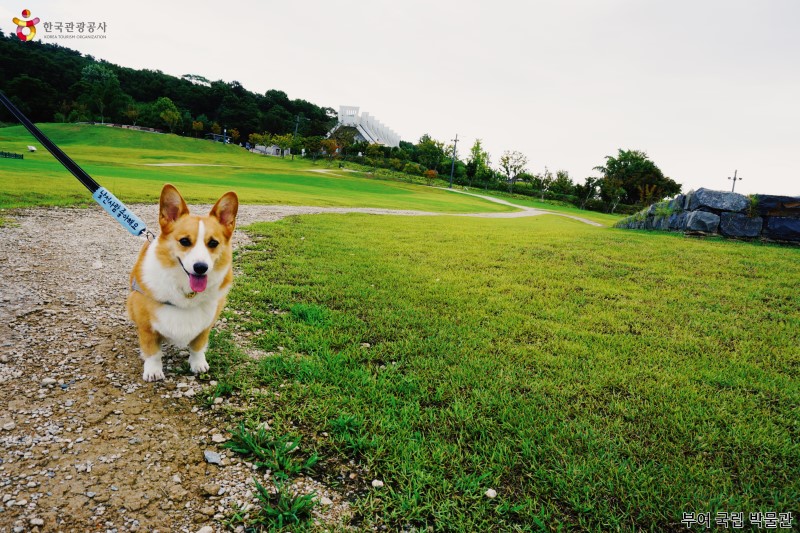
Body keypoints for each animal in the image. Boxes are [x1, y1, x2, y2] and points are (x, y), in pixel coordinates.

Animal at [127, 185, 238, 380]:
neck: (186, 291)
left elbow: (198, 347)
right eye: (184, 241)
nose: (201, 267)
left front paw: (198, 364)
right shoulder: (147, 327)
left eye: (213, 243)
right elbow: (152, 351)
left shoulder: (206, 325)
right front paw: (153, 371)